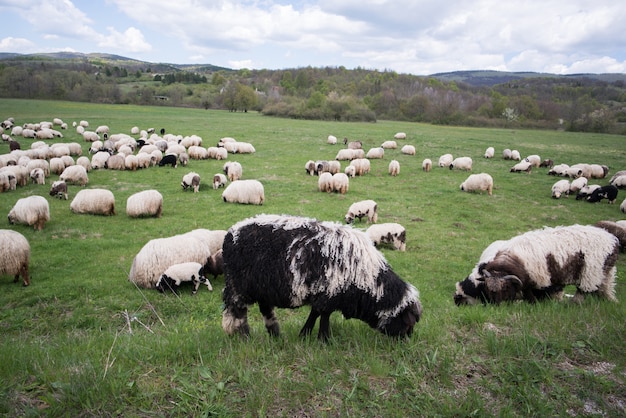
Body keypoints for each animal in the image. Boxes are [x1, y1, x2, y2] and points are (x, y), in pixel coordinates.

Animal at [218, 216, 420, 340]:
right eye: (407, 322)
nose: (407, 340)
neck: (368, 282)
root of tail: (230, 234)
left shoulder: (323, 294)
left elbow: (315, 313)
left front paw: (305, 335)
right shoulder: (329, 294)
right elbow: (323, 317)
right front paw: (324, 339)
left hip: (263, 288)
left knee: (265, 310)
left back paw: (275, 334)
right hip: (238, 286)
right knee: (237, 311)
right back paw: (242, 335)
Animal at [454, 225, 620, 304]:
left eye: (505, 288)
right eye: (488, 289)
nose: (455, 301)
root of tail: (611, 239)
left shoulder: (539, 281)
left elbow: (532, 295)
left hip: (590, 273)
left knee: (583, 291)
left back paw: (574, 303)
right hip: (606, 272)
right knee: (606, 287)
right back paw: (610, 300)